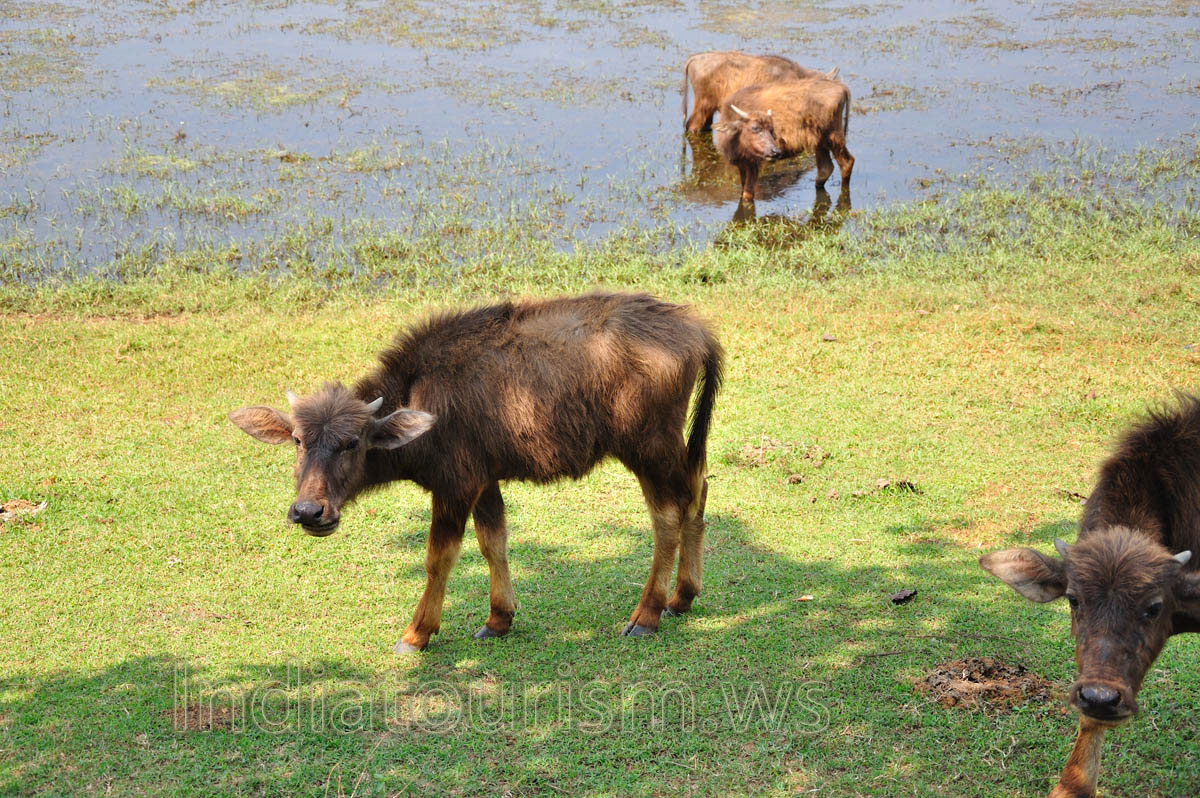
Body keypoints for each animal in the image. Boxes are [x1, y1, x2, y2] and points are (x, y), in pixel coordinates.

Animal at [230, 293, 723, 653]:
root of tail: (695, 331)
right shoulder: (485, 481)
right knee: (698, 492)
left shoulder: (455, 485)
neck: (421, 399)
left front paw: (417, 633)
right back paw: (683, 596)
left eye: (353, 442)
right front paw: (498, 618)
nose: (309, 512)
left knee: (668, 515)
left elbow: (439, 558)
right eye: (298, 440)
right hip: (674, 445)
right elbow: (493, 542)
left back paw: (646, 614)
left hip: (647, 447)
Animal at [714, 77, 854, 203]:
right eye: (755, 128)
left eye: (771, 129)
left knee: (847, 162)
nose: (775, 151)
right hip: (820, 142)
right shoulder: (742, 164)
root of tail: (841, 87)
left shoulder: (753, 165)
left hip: (834, 138)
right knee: (825, 168)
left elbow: (747, 195)